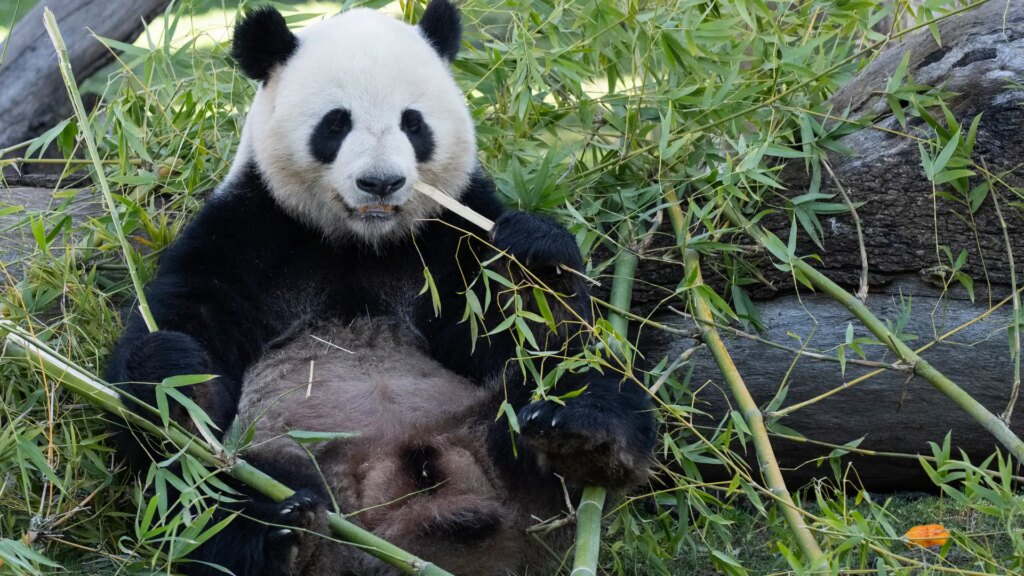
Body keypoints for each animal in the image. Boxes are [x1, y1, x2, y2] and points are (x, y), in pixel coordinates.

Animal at [104, 2, 655, 574]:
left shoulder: (450, 235)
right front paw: (173, 375)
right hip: (279, 453)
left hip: (492, 420)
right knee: (208, 490)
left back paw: (582, 439)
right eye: (336, 123)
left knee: (574, 384)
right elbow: (183, 341)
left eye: (413, 123)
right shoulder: (248, 230)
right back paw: (282, 535)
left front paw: (534, 261)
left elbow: (515, 328)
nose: (380, 182)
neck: (361, 241)